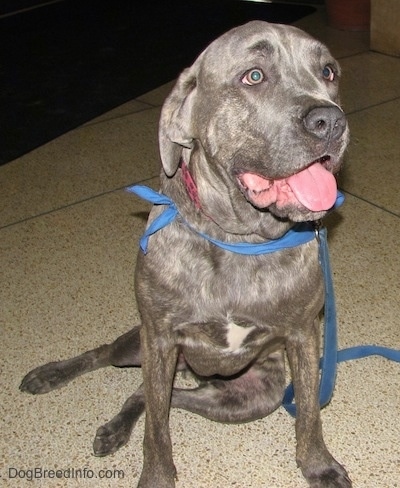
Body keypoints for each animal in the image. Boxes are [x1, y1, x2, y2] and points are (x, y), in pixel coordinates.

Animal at [20, 20, 350, 488]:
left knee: (158, 396)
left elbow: (308, 413)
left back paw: (117, 426)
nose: (331, 120)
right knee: (110, 360)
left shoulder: (303, 337)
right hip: (138, 346)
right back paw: (52, 375)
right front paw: (157, 474)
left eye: (328, 72)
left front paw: (317, 463)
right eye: (253, 76)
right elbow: (157, 433)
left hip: (250, 396)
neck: (241, 240)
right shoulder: (159, 338)